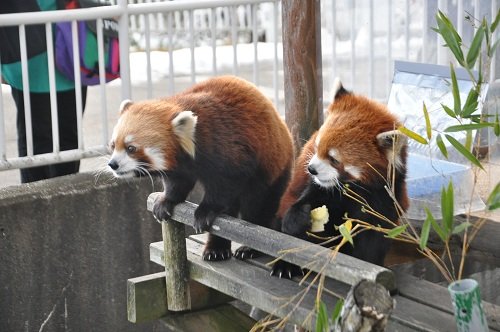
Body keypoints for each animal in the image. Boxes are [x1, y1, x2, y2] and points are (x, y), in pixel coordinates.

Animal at [108, 76, 292, 262]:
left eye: (131, 148)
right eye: (113, 145)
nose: (113, 164)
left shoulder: (227, 147)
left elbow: (226, 184)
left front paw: (206, 210)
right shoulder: (181, 169)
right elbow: (177, 184)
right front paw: (166, 200)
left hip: (272, 169)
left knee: (258, 206)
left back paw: (249, 248)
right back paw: (216, 250)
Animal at [272, 79, 408, 278]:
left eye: (334, 159)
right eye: (317, 146)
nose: (311, 169)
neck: (355, 188)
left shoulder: (384, 198)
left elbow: (373, 238)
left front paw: (367, 264)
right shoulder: (320, 189)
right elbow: (306, 203)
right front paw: (298, 217)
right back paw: (285, 265)